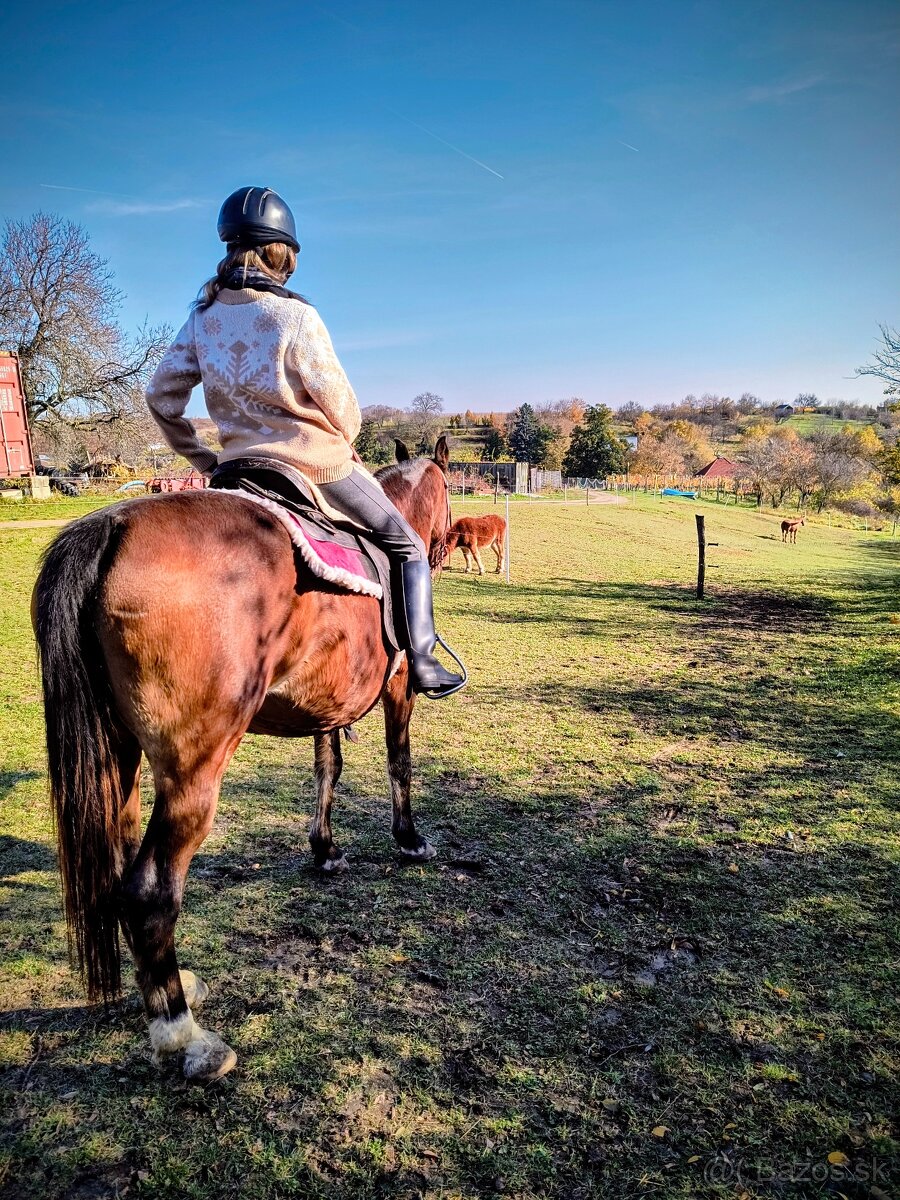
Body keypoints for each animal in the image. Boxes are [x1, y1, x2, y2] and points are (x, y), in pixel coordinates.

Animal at [33, 437, 455, 1082]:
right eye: (451, 491)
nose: (445, 545)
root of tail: (111, 527)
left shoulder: (323, 705)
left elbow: (327, 768)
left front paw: (325, 850)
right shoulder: (401, 684)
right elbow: (398, 762)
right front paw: (408, 839)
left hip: (117, 760)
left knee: (119, 868)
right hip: (193, 769)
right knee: (149, 891)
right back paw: (183, 1036)